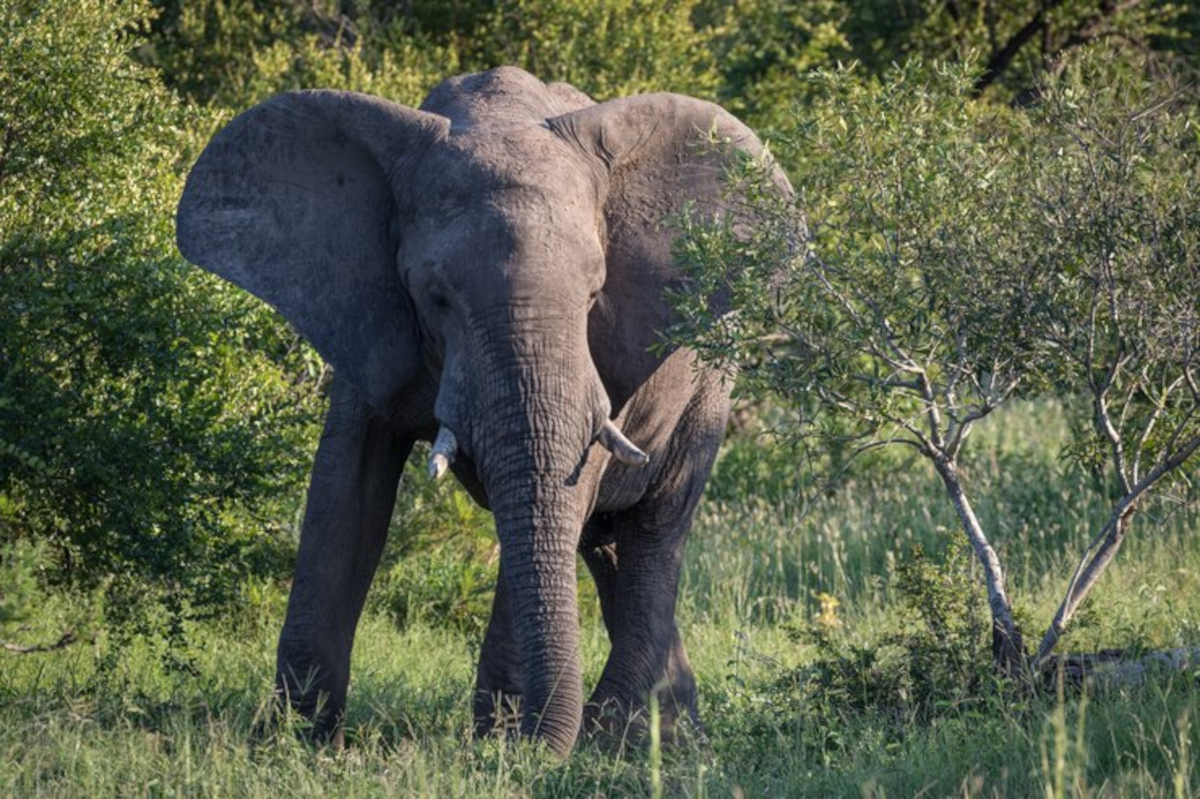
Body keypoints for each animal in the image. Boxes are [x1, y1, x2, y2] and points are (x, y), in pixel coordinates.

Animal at [176, 66, 784, 756]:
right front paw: (295, 738)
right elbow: (345, 493)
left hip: (712, 379)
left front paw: (506, 748)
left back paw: (626, 733)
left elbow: (565, 483)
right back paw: (654, 731)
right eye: (435, 294)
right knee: (603, 543)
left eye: (594, 293)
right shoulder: (365, 310)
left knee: (655, 526)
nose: (539, 743)